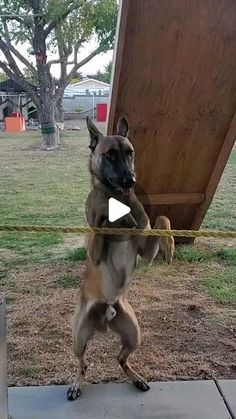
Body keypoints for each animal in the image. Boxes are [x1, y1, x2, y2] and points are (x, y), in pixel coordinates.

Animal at [67, 115, 174, 400]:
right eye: (110, 155)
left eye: (130, 153)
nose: (130, 181)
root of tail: (105, 320)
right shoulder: (94, 250)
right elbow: (101, 218)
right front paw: (113, 214)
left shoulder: (146, 248)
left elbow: (161, 220)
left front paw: (169, 244)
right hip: (79, 337)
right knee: (83, 363)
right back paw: (76, 383)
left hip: (134, 334)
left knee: (120, 358)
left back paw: (136, 378)